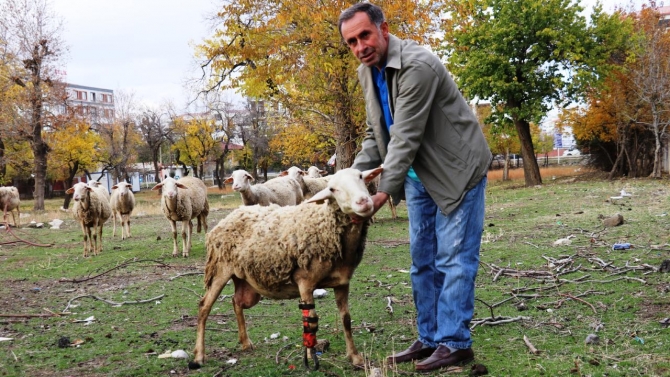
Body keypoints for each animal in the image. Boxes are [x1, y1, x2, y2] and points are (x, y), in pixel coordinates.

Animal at [189, 166, 384, 368]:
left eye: (361, 177)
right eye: (332, 189)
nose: (363, 201)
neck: (326, 226)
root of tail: (230, 216)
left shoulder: (342, 283)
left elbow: (346, 319)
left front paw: (355, 357)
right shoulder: (305, 282)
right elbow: (310, 322)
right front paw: (310, 357)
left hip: (245, 280)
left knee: (236, 302)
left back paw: (245, 342)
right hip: (220, 269)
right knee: (204, 307)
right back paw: (199, 355)